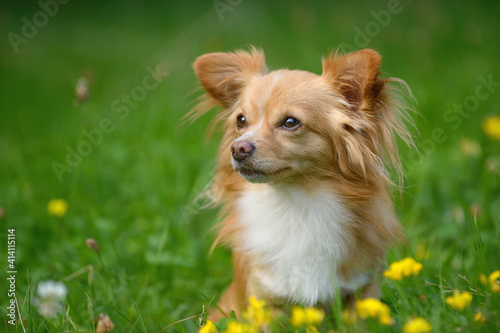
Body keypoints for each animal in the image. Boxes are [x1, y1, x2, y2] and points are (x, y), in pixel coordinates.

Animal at [191, 46, 414, 320]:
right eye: (240, 121)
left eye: (290, 122)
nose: (238, 148)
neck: (295, 203)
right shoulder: (265, 301)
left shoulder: (362, 290)